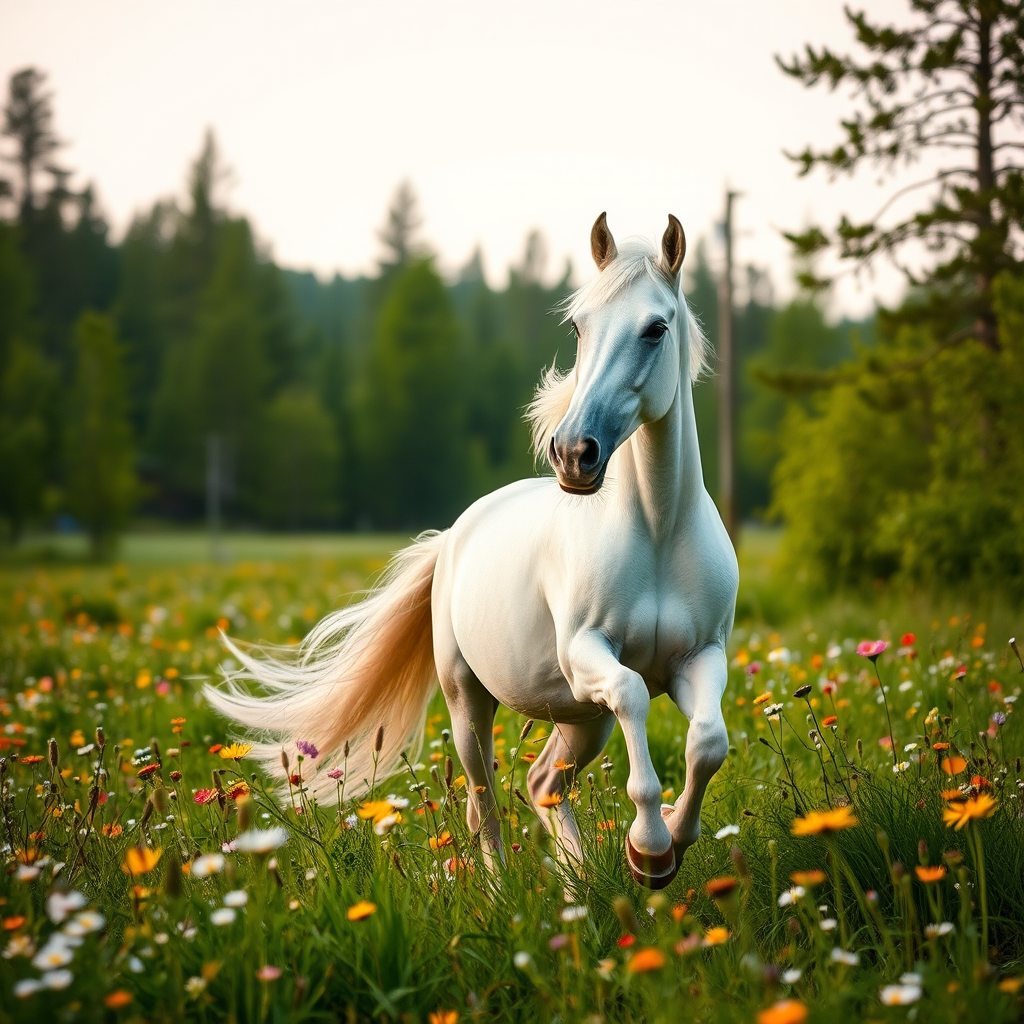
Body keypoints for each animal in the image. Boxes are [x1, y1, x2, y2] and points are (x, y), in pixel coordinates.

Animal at [206, 213, 738, 889]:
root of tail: (453, 537)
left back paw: (576, 880)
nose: (575, 453)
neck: (658, 534)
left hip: (579, 718)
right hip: (469, 700)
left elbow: (708, 742)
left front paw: (665, 844)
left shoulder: (701, 657)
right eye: (578, 326)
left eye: (656, 328)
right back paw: (500, 890)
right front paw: (649, 842)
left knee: (542, 783)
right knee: (482, 799)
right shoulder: (589, 656)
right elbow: (634, 695)